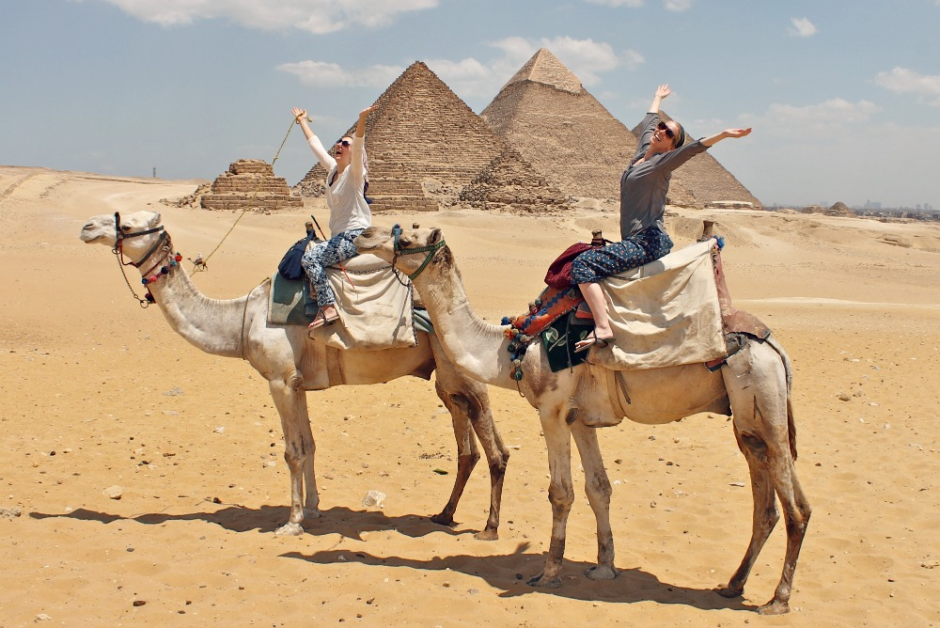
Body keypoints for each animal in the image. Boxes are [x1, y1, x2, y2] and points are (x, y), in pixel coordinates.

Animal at [80, 211, 509, 540]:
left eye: (128, 224)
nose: (88, 227)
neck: (240, 319)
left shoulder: (279, 380)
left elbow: (291, 451)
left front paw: (292, 522)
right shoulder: (297, 383)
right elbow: (310, 446)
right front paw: (315, 509)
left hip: (464, 374)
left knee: (496, 451)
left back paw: (487, 528)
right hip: (447, 382)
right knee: (467, 449)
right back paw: (444, 515)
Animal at [355, 224, 812, 615]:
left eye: (407, 238)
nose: (361, 235)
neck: (513, 351)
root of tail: (775, 349)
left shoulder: (552, 410)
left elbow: (561, 493)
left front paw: (549, 572)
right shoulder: (580, 419)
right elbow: (599, 489)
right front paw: (604, 566)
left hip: (765, 404)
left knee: (797, 509)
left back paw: (777, 600)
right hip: (747, 422)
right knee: (766, 506)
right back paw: (733, 584)